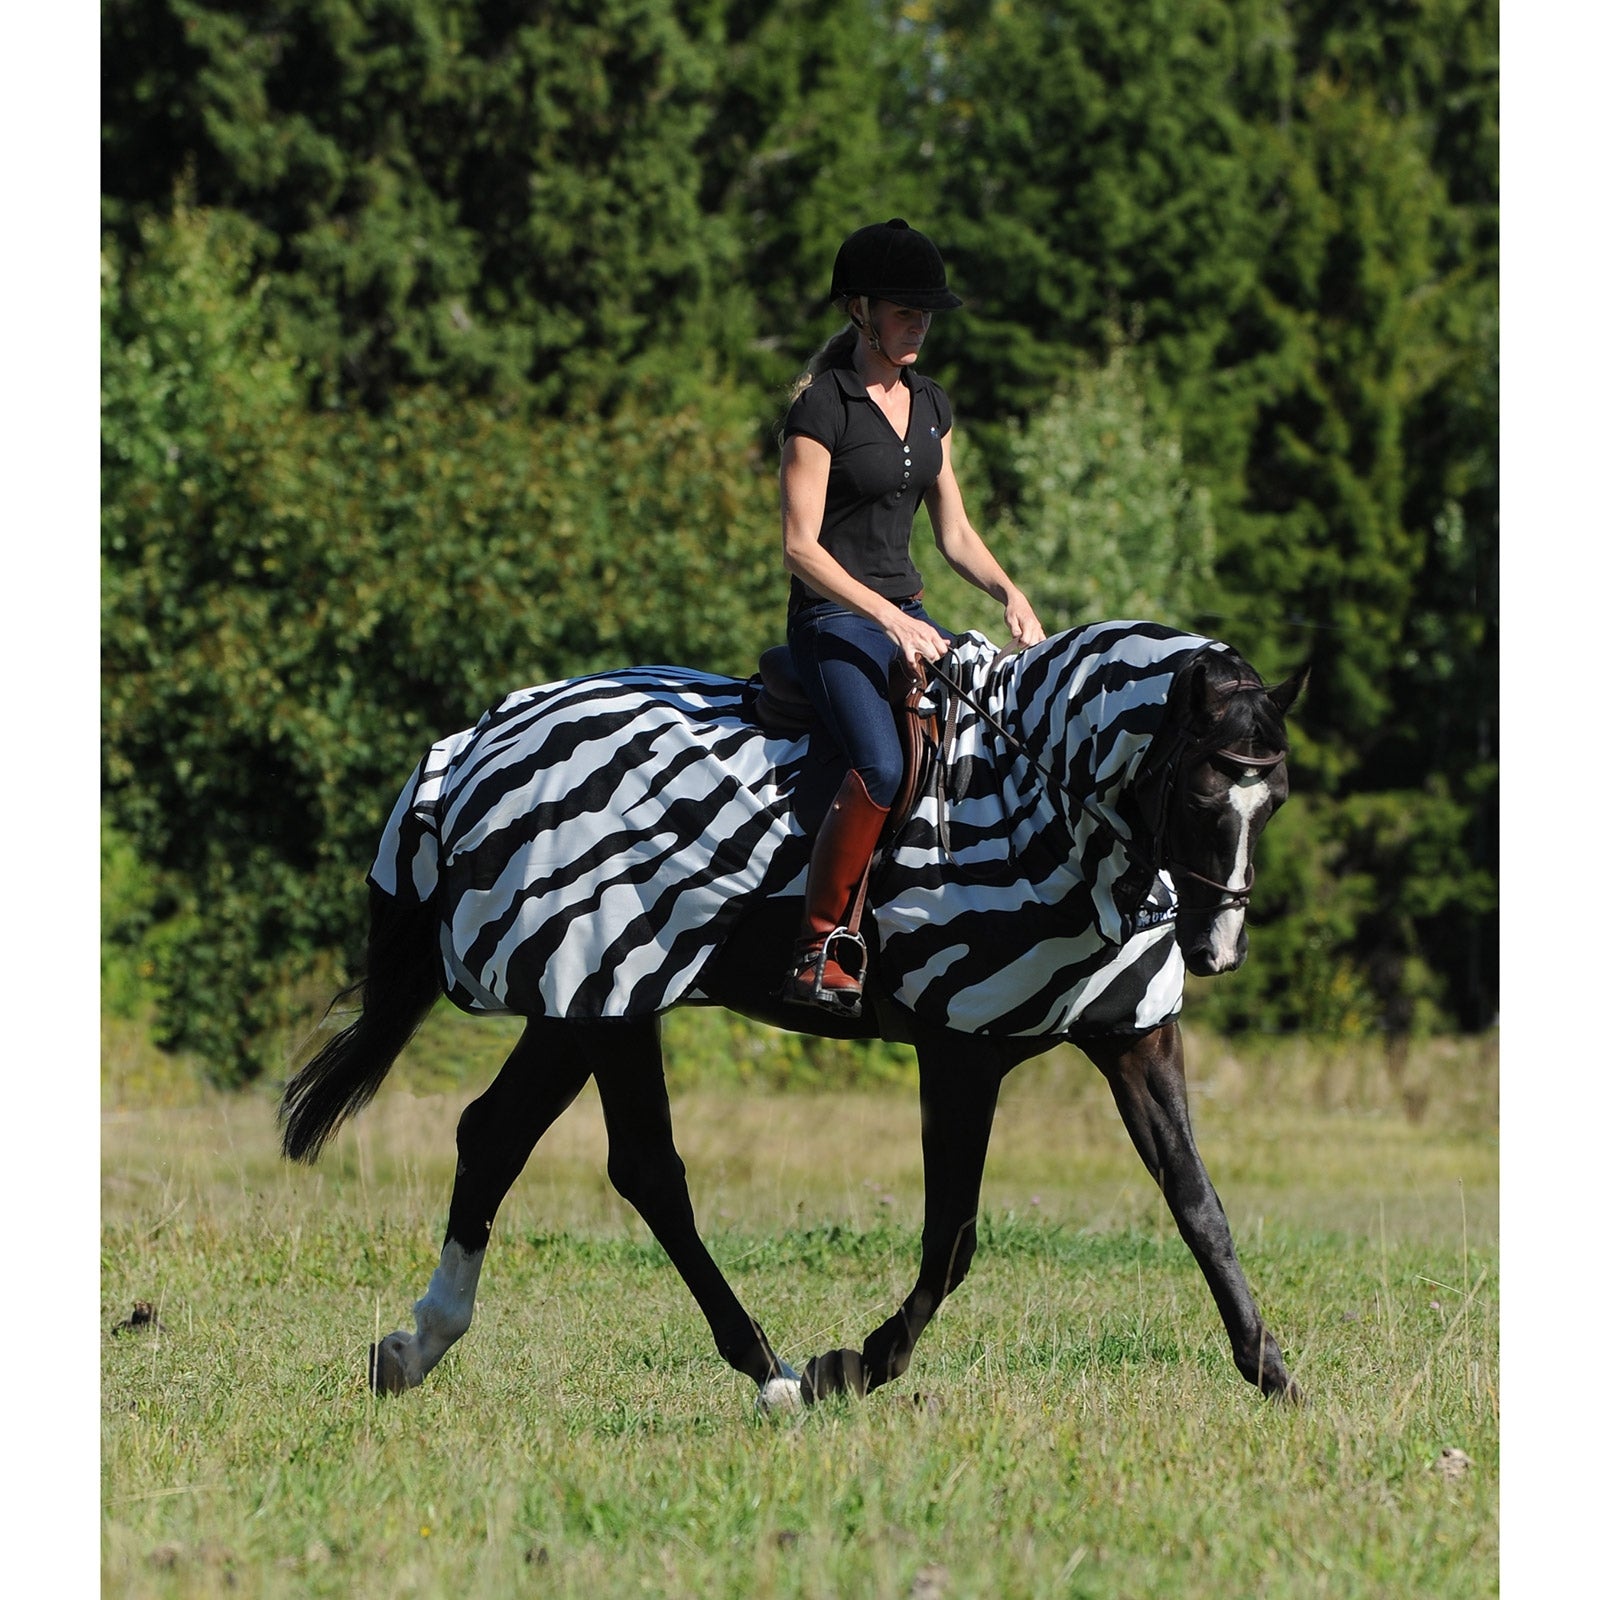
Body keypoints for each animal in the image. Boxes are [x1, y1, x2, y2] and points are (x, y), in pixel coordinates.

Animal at [279, 620, 1307, 1409]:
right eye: (1202, 789)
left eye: (1276, 799)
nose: (1217, 949)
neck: (1039, 807)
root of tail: (475, 745)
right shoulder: (960, 1051)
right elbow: (953, 1238)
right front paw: (853, 1365)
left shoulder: (1134, 1037)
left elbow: (1198, 1205)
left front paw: (1274, 1375)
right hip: (604, 998)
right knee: (627, 1166)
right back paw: (771, 1373)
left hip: (587, 1006)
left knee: (514, 1141)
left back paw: (420, 1346)